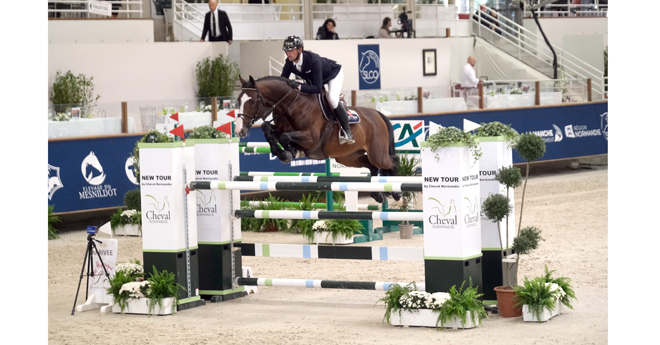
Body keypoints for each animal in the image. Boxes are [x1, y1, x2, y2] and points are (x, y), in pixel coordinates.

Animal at [237, 74, 402, 203]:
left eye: (252, 101)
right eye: (238, 100)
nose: (239, 130)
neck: (292, 105)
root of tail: (377, 114)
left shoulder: (312, 139)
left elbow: (285, 137)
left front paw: (289, 153)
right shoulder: (280, 129)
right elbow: (267, 128)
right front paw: (283, 152)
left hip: (377, 153)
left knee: (392, 162)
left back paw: (397, 192)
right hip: (348, 157)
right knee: (371, 165)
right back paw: (378, 194)